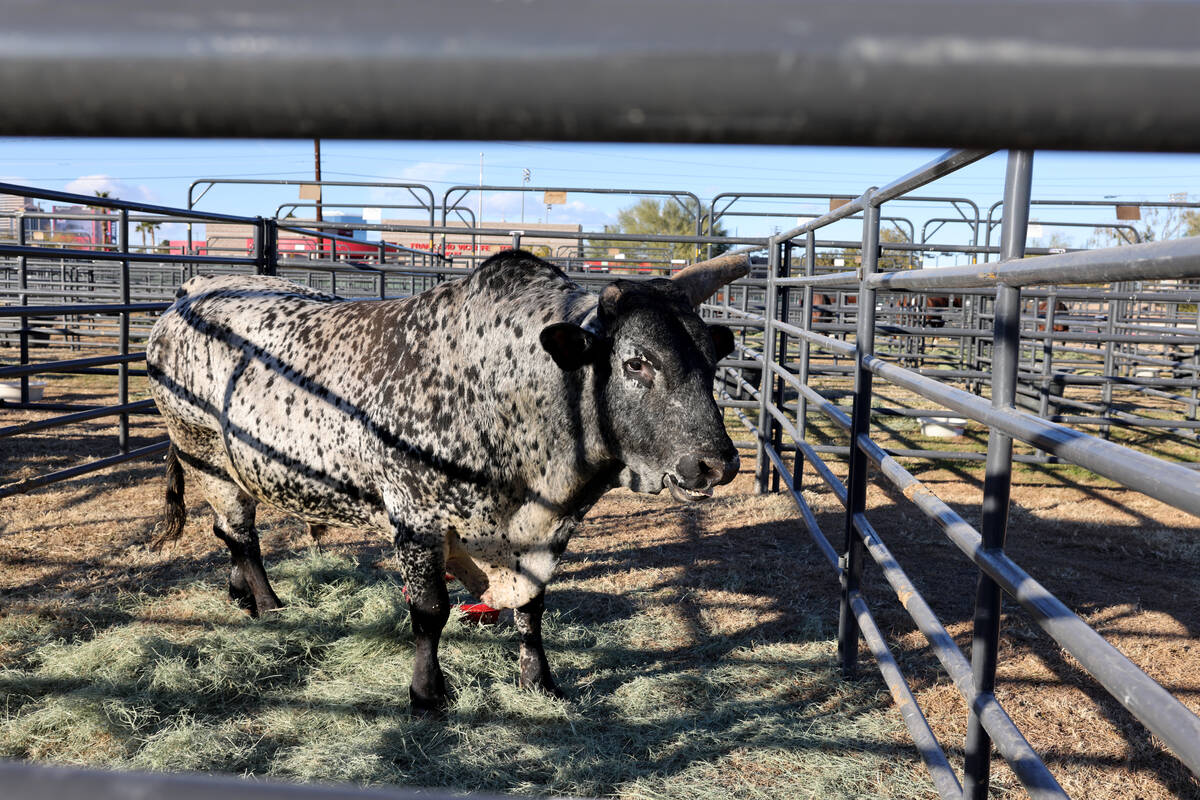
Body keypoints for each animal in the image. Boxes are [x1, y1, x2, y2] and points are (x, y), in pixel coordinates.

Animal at [145, 248, 744, 714]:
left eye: (712, 360)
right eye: (637, 362)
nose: (717, 464)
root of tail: (189, 292)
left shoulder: (538, 537)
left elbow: (532, 607)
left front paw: (539, 681)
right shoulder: (417, 521)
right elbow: (430, 612)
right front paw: (428, 694)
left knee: (228, 534)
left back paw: (241, 595)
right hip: (205, 454)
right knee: (241, 535)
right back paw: (269, 604)